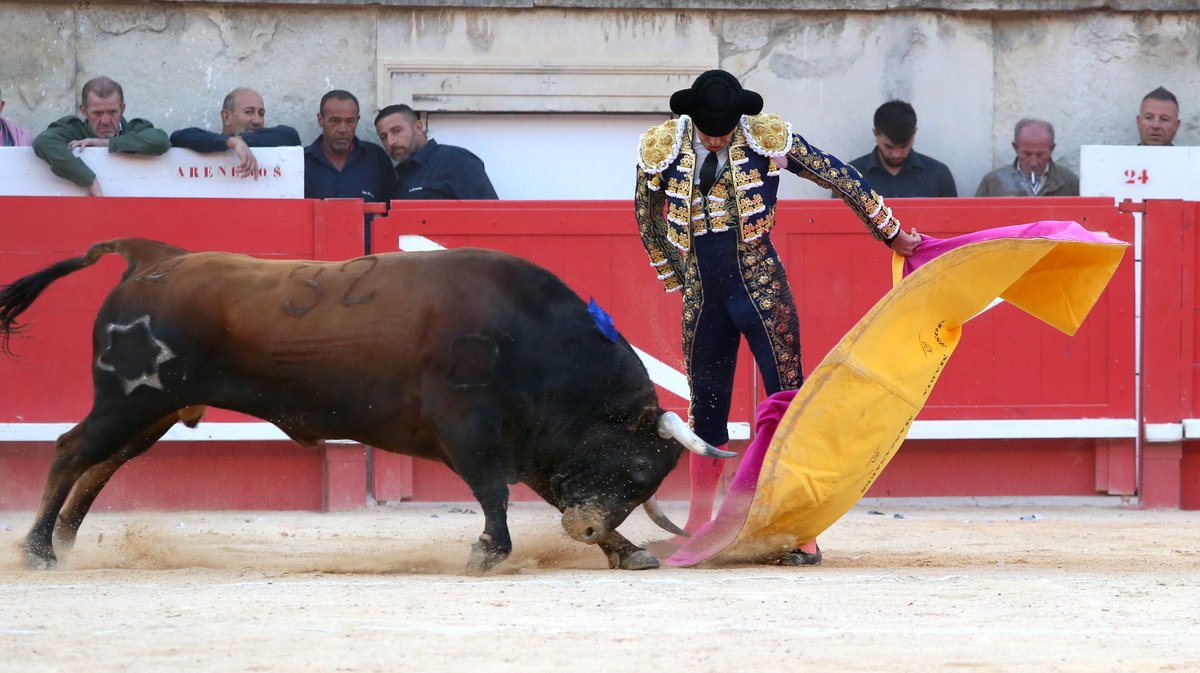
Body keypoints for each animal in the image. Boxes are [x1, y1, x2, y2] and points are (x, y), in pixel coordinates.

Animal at [0, 238, 729, 568]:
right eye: (638, 470)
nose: (587, 532)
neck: (536, 340)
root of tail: (151, 255)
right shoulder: (471, 427)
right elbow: (493, 491)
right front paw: (489, 552)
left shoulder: (535, 446)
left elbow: (544, 491)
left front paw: (625, 550)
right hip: (127, 401)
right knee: (70, 451)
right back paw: (38, 548)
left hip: (149, 411)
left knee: (99, 465)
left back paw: (65, 542)